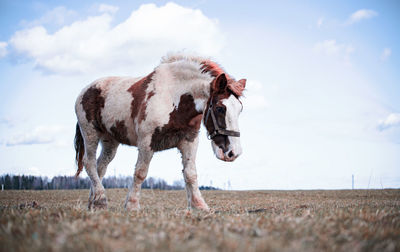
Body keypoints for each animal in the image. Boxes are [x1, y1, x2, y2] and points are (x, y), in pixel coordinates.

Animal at [73, 53, 245, 211]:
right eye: (220, 108)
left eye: (240, 109)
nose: (233, 153)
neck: (172, 96)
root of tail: (85, 91)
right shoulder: (146, 142)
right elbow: (140, 172)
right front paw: (132, 205)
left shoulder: (189, 141)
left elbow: (190, 174)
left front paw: (199, 205)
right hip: (90, 133)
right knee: (89, 163)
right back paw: (100, 199)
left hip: (110, 141)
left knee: (100, 167)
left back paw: (94, 203)